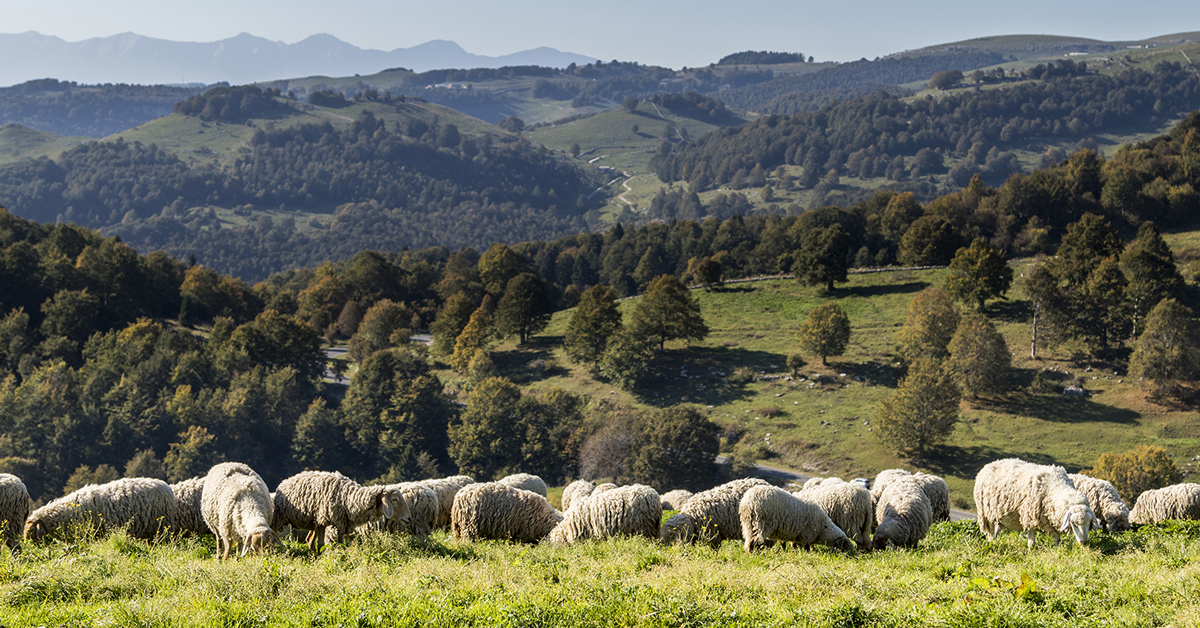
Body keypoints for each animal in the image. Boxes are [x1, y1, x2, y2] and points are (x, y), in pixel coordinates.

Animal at [272, 468, 403, 552]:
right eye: (394, 499)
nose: (407, 518)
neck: (348, 497)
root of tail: (285, 481)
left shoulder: (342, 522)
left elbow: (341, 544)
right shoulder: (323, 520)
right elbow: (321, 545)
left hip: (312, 522)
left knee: (309, 540)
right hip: (279, 517)